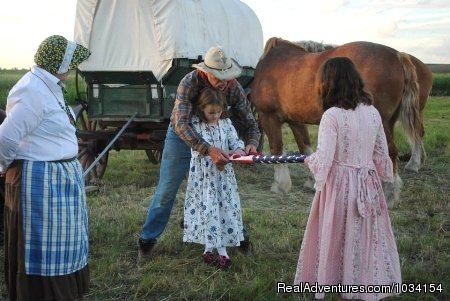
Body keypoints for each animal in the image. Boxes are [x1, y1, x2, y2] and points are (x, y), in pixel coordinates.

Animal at [251, 38, 434, 202]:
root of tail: (397, 55)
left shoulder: (269, 116)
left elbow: (276, 149)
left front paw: (280, 185)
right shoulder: (296, 120)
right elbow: (306, 149)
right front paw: (313, 180)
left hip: (381, 121)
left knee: (391, 152)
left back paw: (389, 190)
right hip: (390, 121)